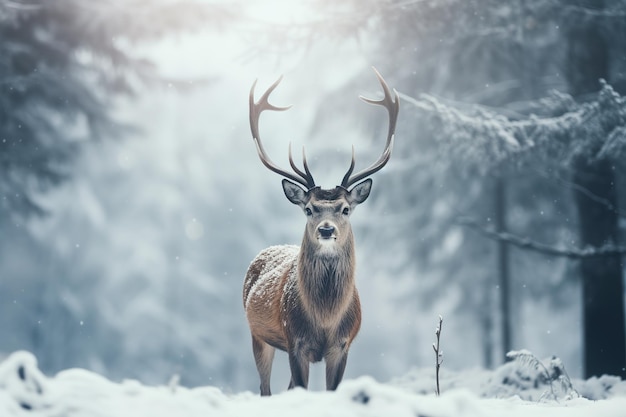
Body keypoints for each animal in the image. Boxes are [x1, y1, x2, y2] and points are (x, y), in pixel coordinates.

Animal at [241, 67, 398, 394]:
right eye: (309, 209)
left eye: (346, 209)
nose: (326, 230)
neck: (325, 321)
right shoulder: (296, 342)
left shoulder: (342, 345)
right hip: (258, 334)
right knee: (265, 388)